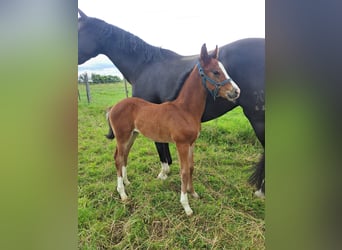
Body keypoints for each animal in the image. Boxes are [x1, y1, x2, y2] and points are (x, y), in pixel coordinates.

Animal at [79, 9, 266, 197]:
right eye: (216, 72)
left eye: (79, 30)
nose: (236, 90)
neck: (144, 66)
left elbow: (160, 145)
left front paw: (164, 172)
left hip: (258, 118)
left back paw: (260, 191)